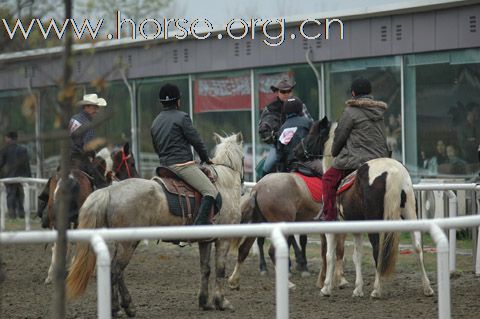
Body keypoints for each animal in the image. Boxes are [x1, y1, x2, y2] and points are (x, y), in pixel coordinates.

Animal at [66, 132, 244, 318]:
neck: (224, 184)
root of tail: (109, 190)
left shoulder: (205, 241)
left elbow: (206, 269)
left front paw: (204, 302)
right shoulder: (223, 240)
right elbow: (220, 269)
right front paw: (221, 302)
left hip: (122, 242)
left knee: (118, 272)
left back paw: (127, 306)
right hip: (128, 243)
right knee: (115, 271)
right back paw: (116, 309)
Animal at [227, 118, 346, 292]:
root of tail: (258, 187)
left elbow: (325, 250)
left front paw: (323, 280)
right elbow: (337, 249)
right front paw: (339, 279)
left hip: (258, 221)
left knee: (244, 249)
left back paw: (234, 280)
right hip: (283, 221)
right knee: (271, 251)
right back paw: (288, 283)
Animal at [306, 119, 436, 300]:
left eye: (311, 132)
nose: (299, 149)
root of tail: (393, 172)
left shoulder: (332, 225)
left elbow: (330, 255)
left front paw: (326, 288)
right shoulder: (356, 227)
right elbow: (357, 255)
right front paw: (358, 289)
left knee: (378, 249)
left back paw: (377, 290)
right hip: (410, 213)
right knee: (417, 247)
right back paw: (427, 288)